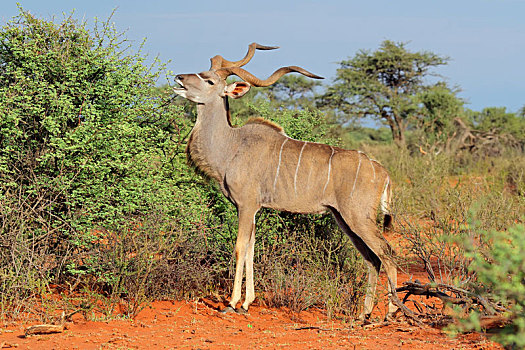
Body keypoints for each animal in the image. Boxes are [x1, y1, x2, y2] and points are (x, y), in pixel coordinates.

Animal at [173, 43, 398, 320]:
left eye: (209, 80)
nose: (179, 78)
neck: (231, 146)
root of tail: (383, 172)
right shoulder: (251, 209)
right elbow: (251, 249)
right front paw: (247, 303)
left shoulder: (246, 205)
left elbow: (239, 248)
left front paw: (232, 303)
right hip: (344, 219)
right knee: (371, 259)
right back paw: (363, 314)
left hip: (358, 217)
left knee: (387, 253)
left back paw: (390, 313)